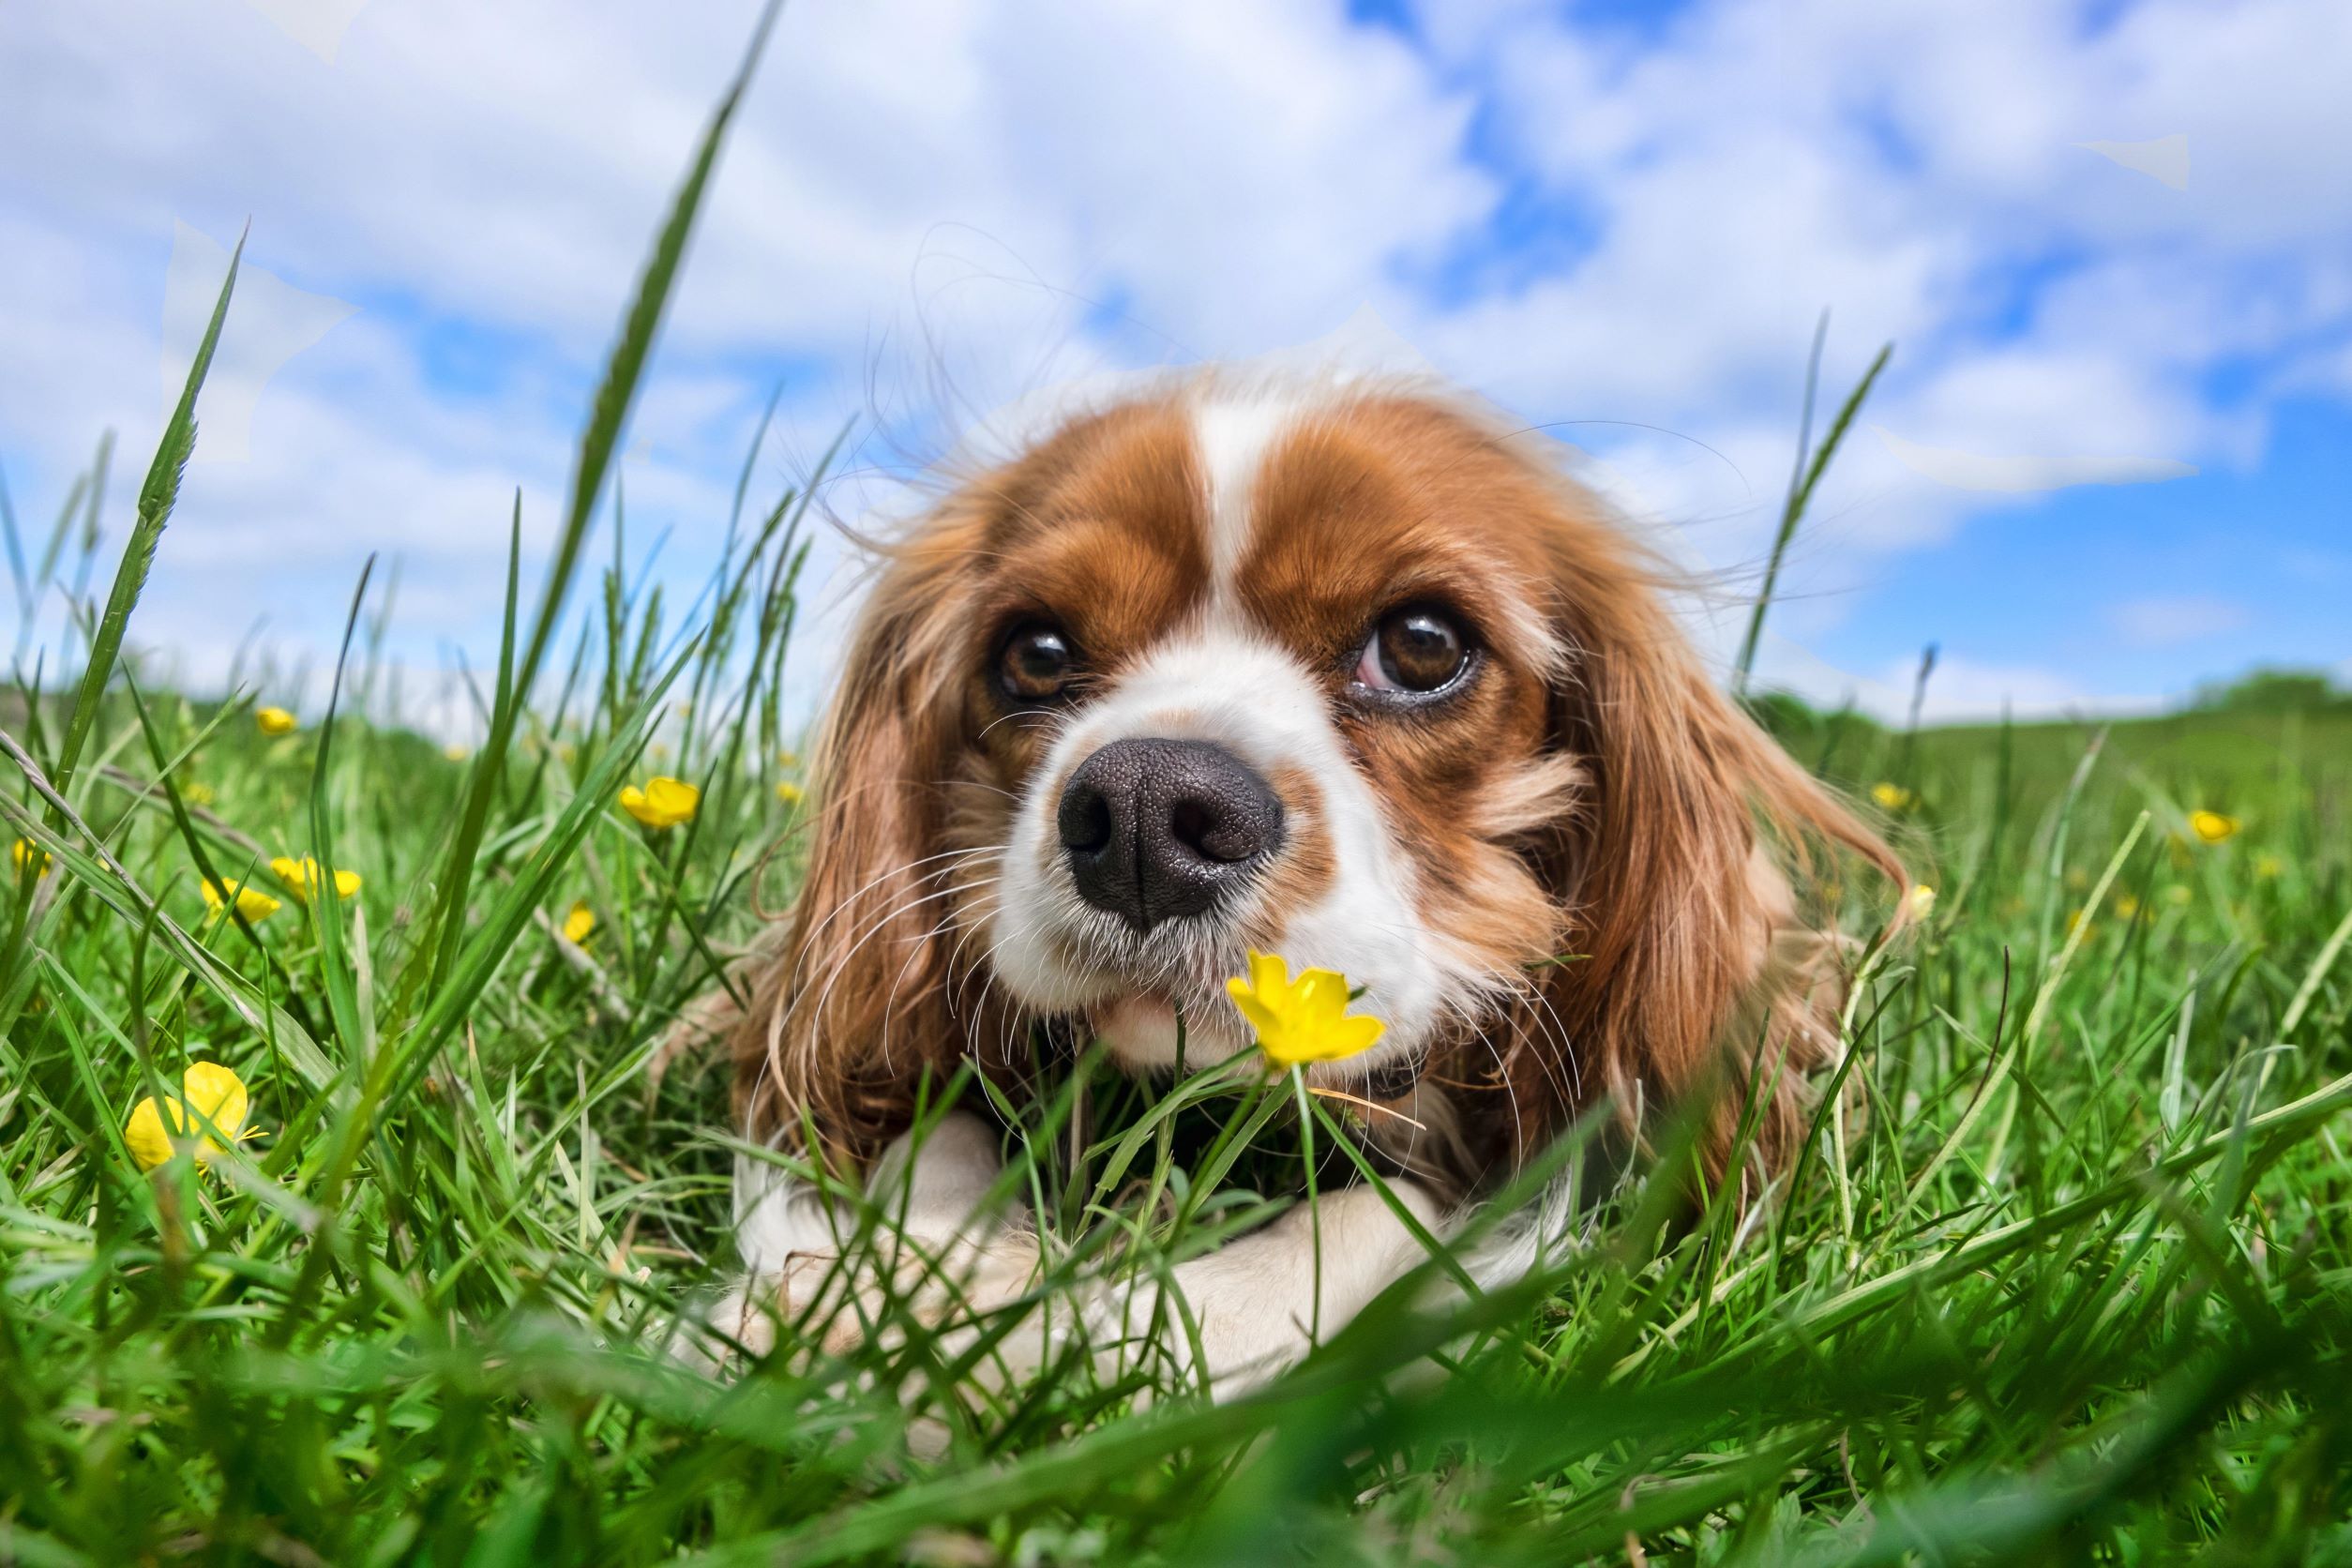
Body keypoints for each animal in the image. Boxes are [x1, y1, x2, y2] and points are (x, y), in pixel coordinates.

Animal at [701, 371, 1909, 1401]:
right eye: (1034, 652)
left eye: (1422, 642)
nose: (1145, 811)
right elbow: (931, 1132)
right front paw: (872, 1287)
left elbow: (1372, 1223)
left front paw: (1033, 1336)